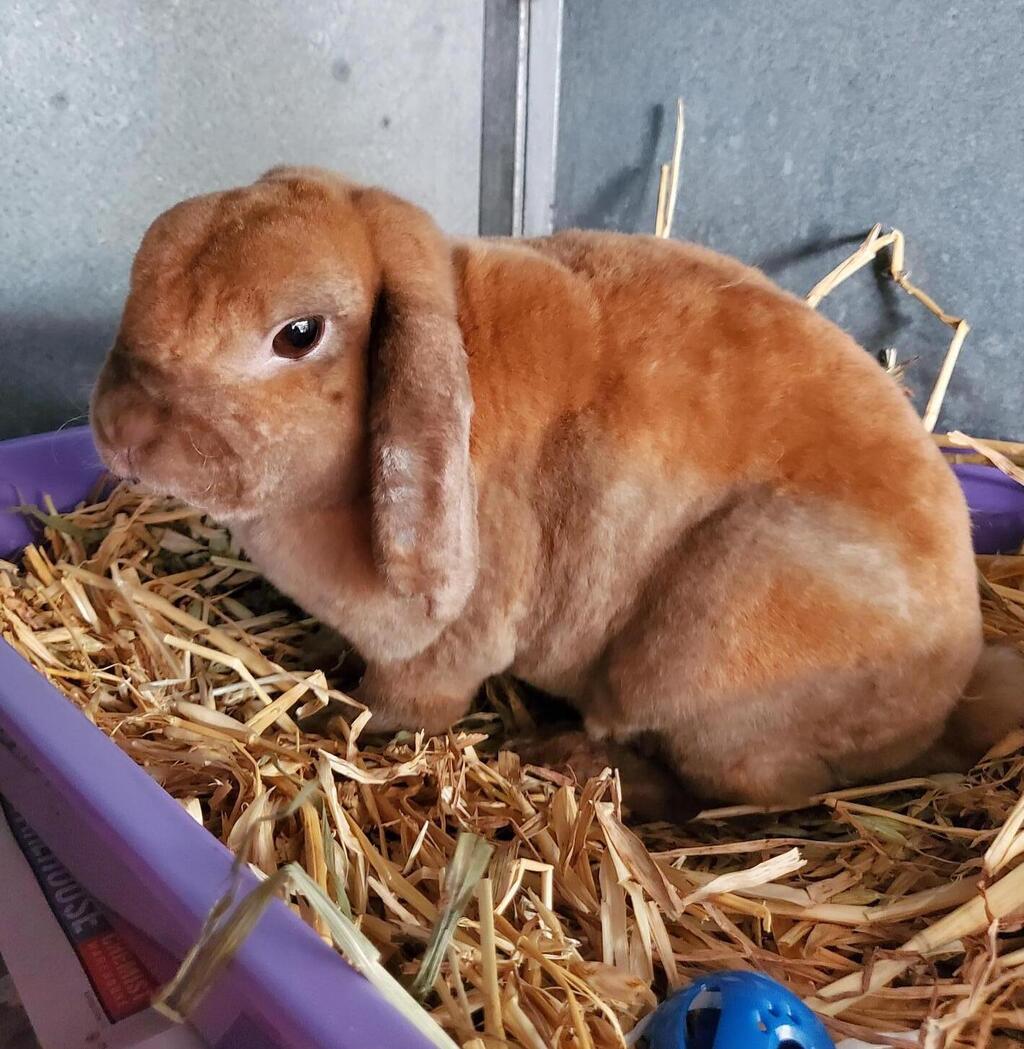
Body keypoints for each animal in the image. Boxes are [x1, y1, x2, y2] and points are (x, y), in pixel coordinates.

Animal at [90, 166, 1024, 818]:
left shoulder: (440, 653)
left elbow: (409, 702)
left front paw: (340, 723)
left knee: (744, 794)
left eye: (298, 334)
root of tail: (950, 687)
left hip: (720, 633)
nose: (119, 426)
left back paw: (577, 763)